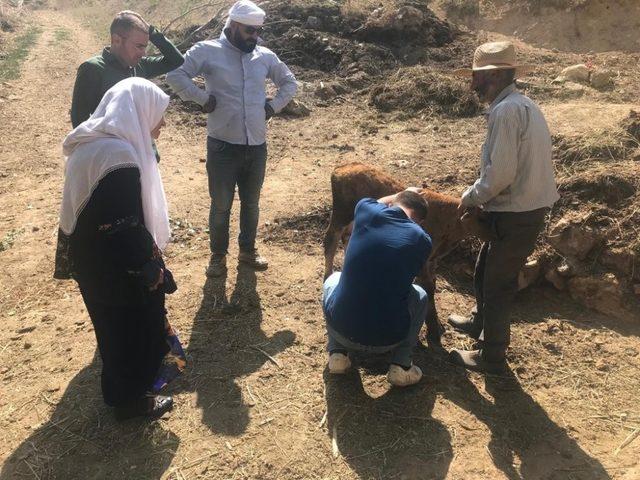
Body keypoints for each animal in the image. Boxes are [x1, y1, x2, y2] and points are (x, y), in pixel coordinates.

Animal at [322, 162, 492, 344]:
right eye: (481, 218)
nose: (496, 233)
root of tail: (346, 166)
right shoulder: (424, 262)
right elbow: (429, 290)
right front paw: (434, 331)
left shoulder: (432, 261)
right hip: (340, 216)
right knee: (331, 241)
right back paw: (327, 276)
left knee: (347, 238)